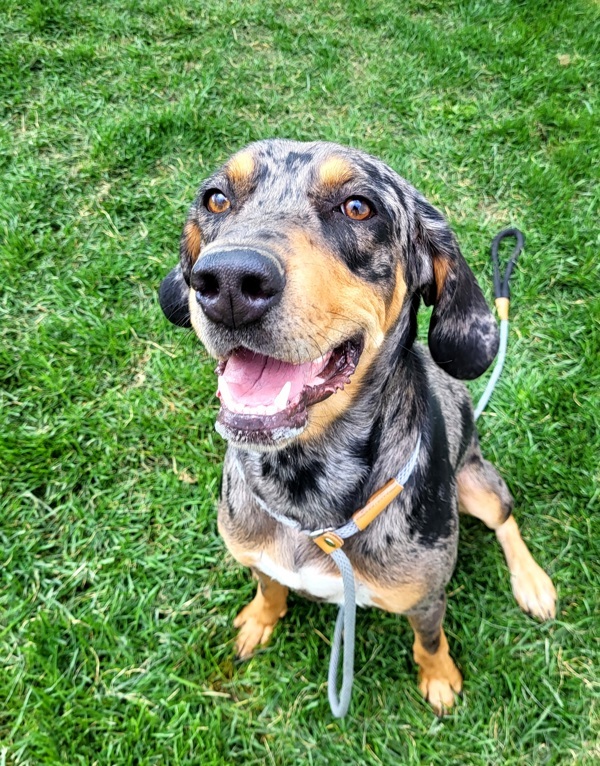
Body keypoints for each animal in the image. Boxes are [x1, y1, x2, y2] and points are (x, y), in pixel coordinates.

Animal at [159, 141, 556, 716]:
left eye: (357, 207)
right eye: (216, 198)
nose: (228, 281)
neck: (306, 487)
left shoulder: (426, 597)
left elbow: (429, 640)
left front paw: (440, 679)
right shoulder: (258, 556)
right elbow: (269, 587)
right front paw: (259, 620)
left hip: (475, 483)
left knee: (505, 518)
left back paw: (533, 583)